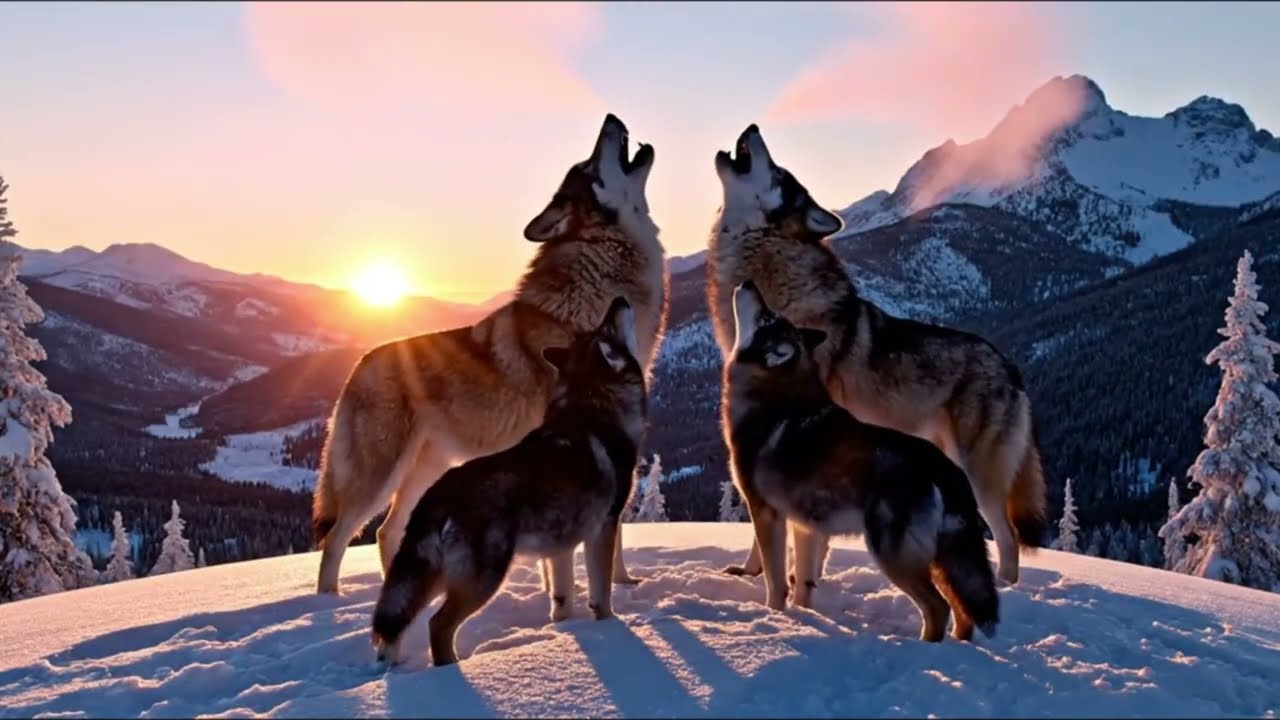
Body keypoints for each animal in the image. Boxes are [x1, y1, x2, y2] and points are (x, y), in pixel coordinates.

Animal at [314, 114, 669, 606]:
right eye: (589, 165)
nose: (611, 119)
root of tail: (359, 363)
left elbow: (608, 536)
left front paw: (623, 585)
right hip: (380, 475)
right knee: (338, 537)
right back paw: (328, 602)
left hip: (428, 468)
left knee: (387, 531)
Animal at [371, 297, 646, 667]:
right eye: (607, 328)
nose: (620, 299)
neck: (592, 399)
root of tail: (440, 492)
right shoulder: (604, 527)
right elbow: (601, 596)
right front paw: (612, 627)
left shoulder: (561, 544)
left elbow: (562, 601)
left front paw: (563, 632)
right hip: (484, 578)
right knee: (438, 625)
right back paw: (450, 670)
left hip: (433, 575)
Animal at [707, 125, 1046, 587]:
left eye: (778, 172)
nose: (753, 128)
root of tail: (1011, 368)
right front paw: (749, 574)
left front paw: (797, 580)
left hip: (979, 473)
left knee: (1007, 536)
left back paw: (1007, 587)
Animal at [723, 281, 999, 642]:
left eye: (767, 318)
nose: (748, 283)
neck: (773, 395)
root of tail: (945, 467)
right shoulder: (803, 524)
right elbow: (803, 583)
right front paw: (804, 618)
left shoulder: (766, 513)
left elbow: (776, 581)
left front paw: (775, 617)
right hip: (940, 558)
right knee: (962, 609)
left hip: (891, 554)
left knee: (939, 607)